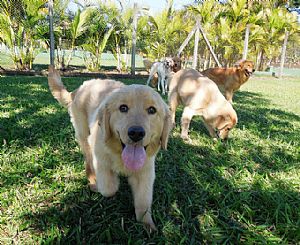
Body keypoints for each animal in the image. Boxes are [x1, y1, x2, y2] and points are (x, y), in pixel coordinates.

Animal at [48, 65, 172, 230]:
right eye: (123, 108)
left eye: (152, 110)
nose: (136, 133)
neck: (119, 153)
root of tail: (80, 88)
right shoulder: (101, 161)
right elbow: (109, 189)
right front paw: (107, 185)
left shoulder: (145, 172)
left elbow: (143, 202)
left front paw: (147, 225)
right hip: (84, 137)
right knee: (88, 163)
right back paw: (93, 182)